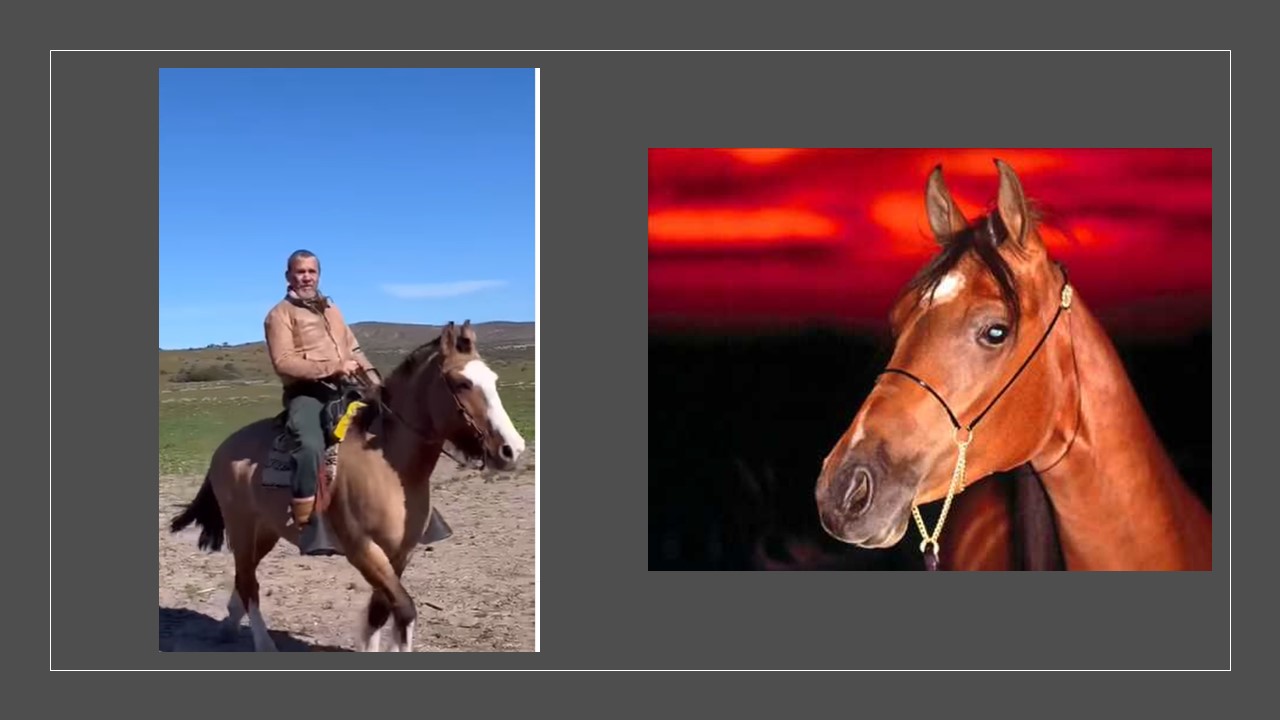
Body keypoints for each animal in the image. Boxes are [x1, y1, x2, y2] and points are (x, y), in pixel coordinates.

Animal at [167, 317, 527, 645]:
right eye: (462, 383)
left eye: (493, 379)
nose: (512, 448)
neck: (390, 466)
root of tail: (224, 448)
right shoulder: (363, 549)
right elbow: (404, 610)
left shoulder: (401, 553)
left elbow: (380, 615)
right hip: (241, 527)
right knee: (248, 584)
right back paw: (263, 645)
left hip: (266, 531)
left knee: (245, 577)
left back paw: (229, 626)